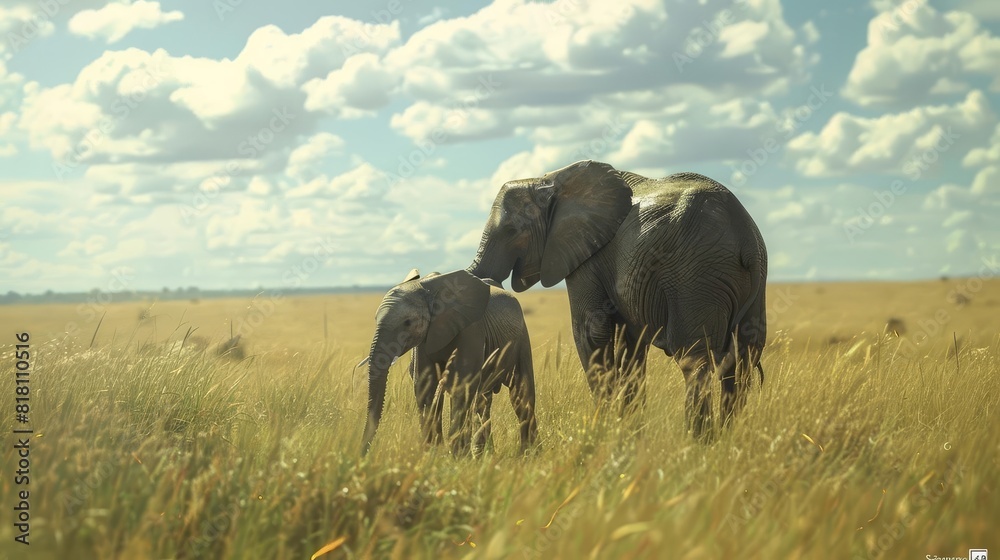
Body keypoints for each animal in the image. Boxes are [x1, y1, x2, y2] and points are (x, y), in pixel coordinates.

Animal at [360, 268, 537, 456]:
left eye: (407, 323)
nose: (362, 454)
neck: (429, 291)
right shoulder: (424, 341)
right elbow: (425, 387)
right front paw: (432, 453)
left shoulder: (471, 329)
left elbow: (461, 385)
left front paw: (456, 456)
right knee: (484, 400)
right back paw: (485, 455)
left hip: (522, 339)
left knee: (521, 394)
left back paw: (528, 454)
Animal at [467, 160, 767, 439]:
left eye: (510, 231)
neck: (550, 180)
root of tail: (744, 238)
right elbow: (631, 346)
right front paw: (629, 432)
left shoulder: (587, 257)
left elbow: (590, 331)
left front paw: (603, 432)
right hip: (747, 280)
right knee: (742, 360)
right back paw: (727, 439)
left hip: (695, 275)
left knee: (695, 361)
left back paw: (697, 442)